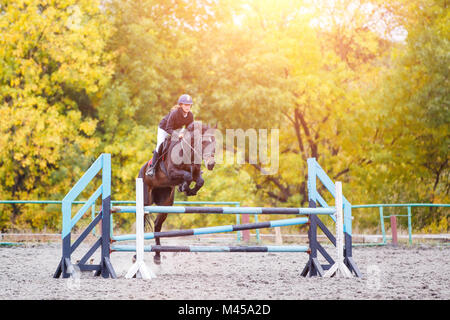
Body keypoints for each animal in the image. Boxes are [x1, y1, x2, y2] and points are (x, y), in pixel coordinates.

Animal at [138, 121, 217, 264]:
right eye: (203, 142)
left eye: (214, 142)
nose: (211, 164)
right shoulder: (172, 172)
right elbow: (188, 176)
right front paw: (185, 187)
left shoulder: (196, 172)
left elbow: (199, 180)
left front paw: (189, 190)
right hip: (145, 200)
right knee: (142, 220)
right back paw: (137, 256)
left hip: (166, 203)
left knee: (157, 225)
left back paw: (157, 255)